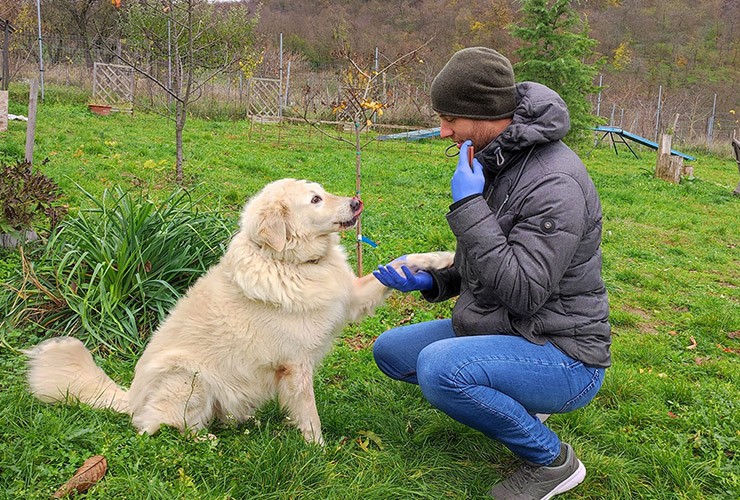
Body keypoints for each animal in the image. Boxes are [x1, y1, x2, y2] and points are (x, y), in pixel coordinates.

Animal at [24, 178, 450, 444]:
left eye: (323, 192)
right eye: (314, 200)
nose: (357, 203)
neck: (293, 263)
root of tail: (130, 397)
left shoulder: (351, 297)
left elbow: (400, 262)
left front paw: (442, 258)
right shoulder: (296, 365)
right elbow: (309, 416)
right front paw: (319, 452)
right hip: (188, 375)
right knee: (155, 425)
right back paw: (205, 439)